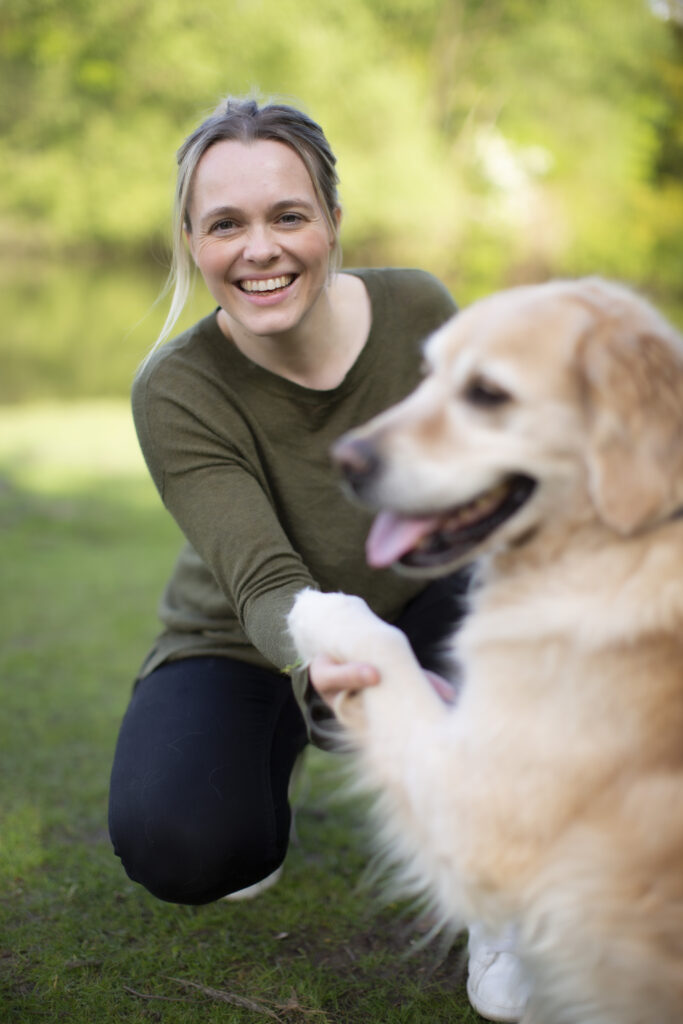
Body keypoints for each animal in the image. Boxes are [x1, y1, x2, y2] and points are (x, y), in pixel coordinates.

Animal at [288, 280, 683, 1024]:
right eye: (426, 374)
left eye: (487, 393)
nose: (343, 459)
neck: (612, 538)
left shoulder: (477, 809)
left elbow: (384, 644)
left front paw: (319, 608)